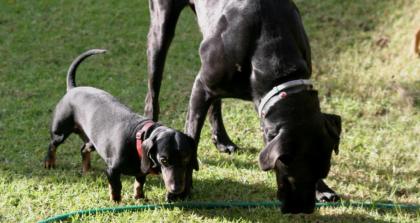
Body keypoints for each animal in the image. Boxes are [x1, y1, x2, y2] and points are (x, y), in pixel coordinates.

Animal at [144, 0, 342, 213]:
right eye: (292, 176)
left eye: (322, 171)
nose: (303, 210)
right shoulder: (201, 88)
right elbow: (191, 139)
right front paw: (181, 191)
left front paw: (323, 189)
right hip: (160, 30)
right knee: (152, 94)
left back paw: (222, 140)